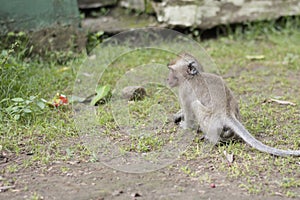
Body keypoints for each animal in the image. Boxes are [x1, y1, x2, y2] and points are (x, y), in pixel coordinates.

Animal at [168, 52, 298, 156]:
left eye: (171, 70)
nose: (167, 80)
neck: (191, 77)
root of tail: (227, 112)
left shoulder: (184, 90)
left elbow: (188, 112)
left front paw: (185, 125)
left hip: (211, 120)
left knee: (195, 105)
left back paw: (212, 139)